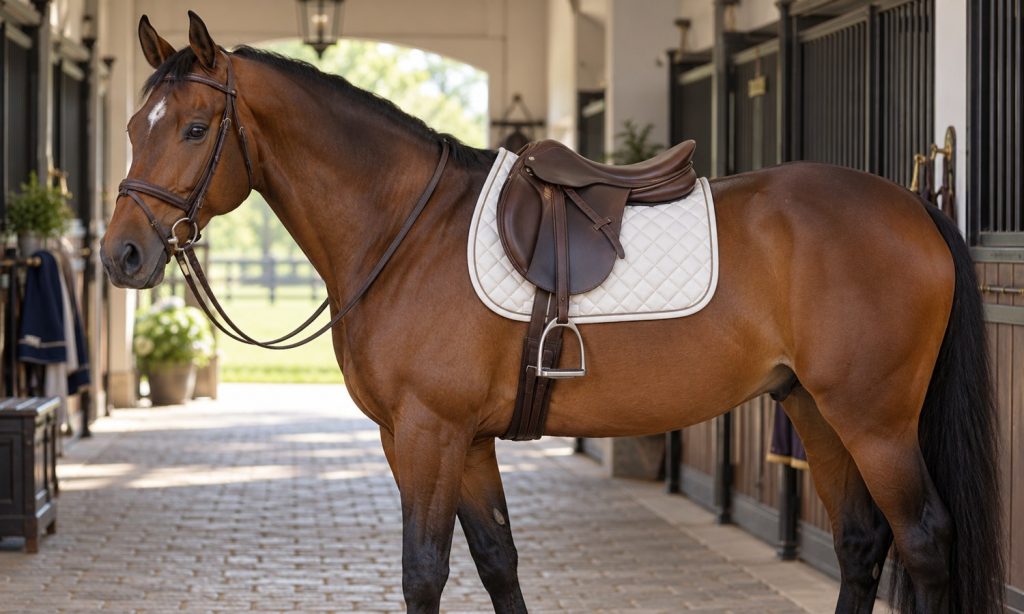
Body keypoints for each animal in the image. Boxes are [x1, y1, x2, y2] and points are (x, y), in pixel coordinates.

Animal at [100, 12, 1003, 614]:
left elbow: (424, 571)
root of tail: (916, 206)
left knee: (924, 541)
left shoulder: (425, 435)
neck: (405, 230)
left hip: (875, 419)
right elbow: (498, 559)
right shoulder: (462, 442)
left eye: (193, 128)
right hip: (814, 408)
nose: (122, 256)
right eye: (132, 125)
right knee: (862, 543)